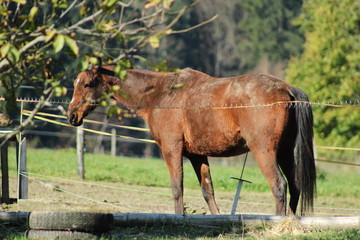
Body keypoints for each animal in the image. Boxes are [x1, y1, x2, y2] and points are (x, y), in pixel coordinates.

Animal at [67, 65, 316, 216]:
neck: (160, 94)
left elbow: (177, 188)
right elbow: (208, 191)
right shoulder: (198, 156)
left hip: (265, 152)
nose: (71, 115)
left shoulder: (171, 150)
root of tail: (286, 88)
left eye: (87, 84)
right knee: (294, 186)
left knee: (279, 186)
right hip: (284, 152)